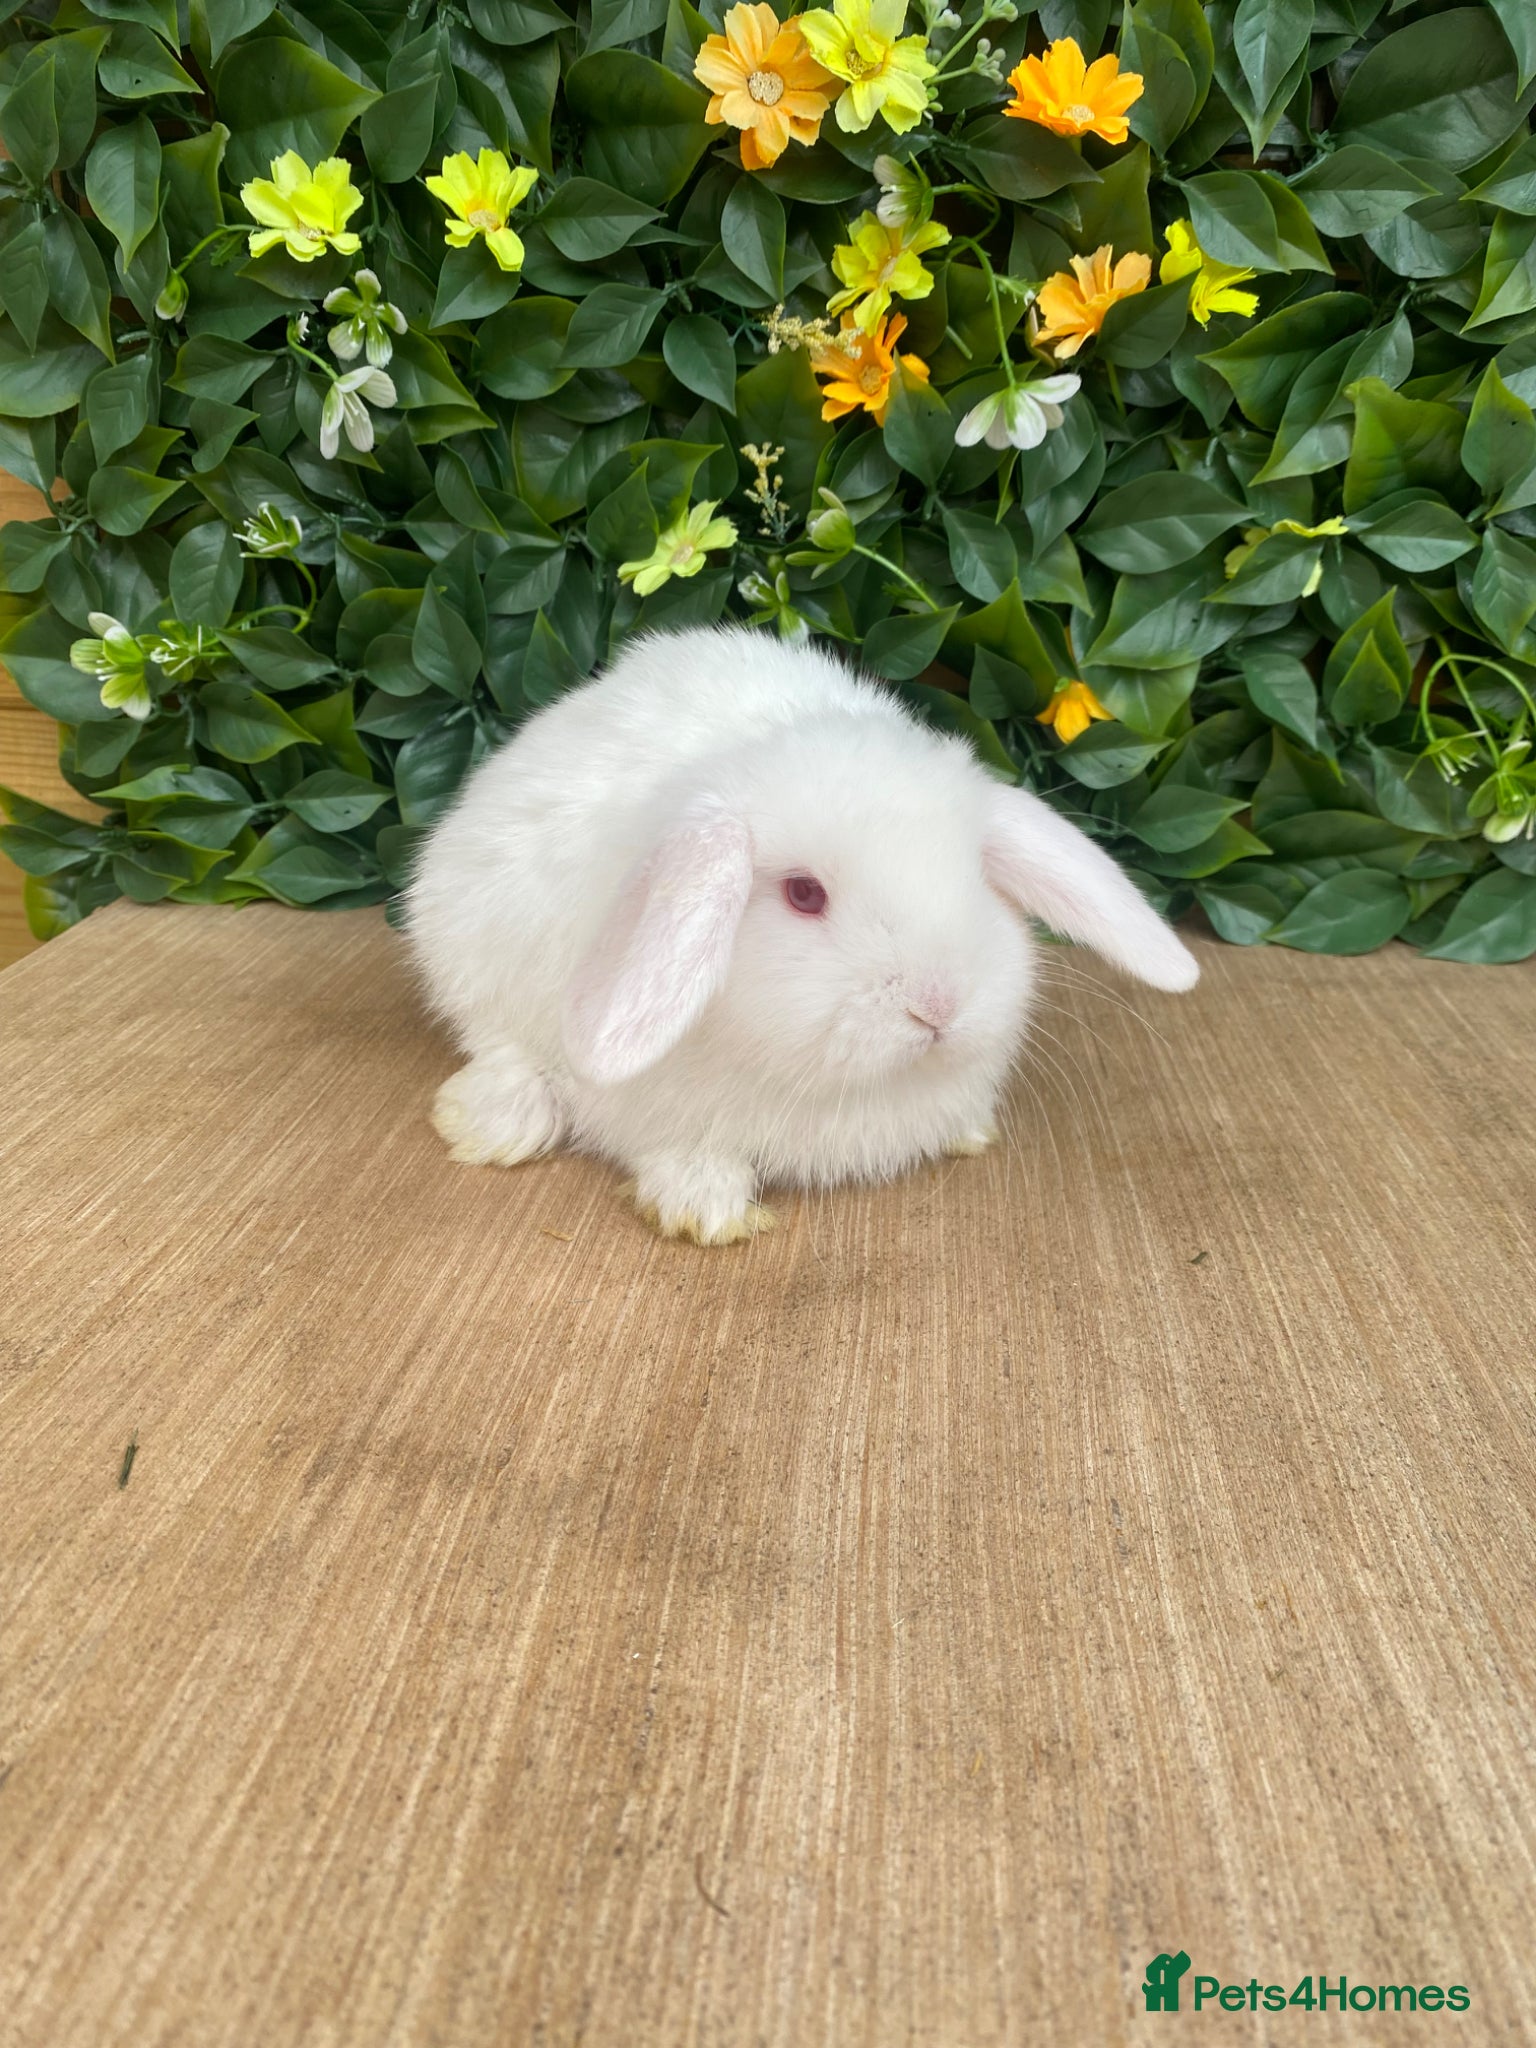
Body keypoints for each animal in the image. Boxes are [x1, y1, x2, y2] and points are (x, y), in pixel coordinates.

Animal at [401, 624, 1198, 1244]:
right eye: (804, 894)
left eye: (973, 872)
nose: (938, 1006)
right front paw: (703, 1206)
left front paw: (968, 1130)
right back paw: (492, 1120)